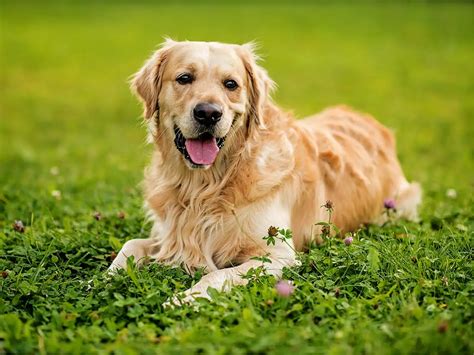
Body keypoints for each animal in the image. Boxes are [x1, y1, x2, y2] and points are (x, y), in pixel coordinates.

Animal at [108, 40, 422, 304]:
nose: (208, 113)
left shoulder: (279, 255)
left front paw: (183, 300)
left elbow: (217, 273)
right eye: (184, 78)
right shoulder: (168, 235)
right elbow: (130, 245)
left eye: (231, 84)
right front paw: (105, 278)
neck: (205, 185)